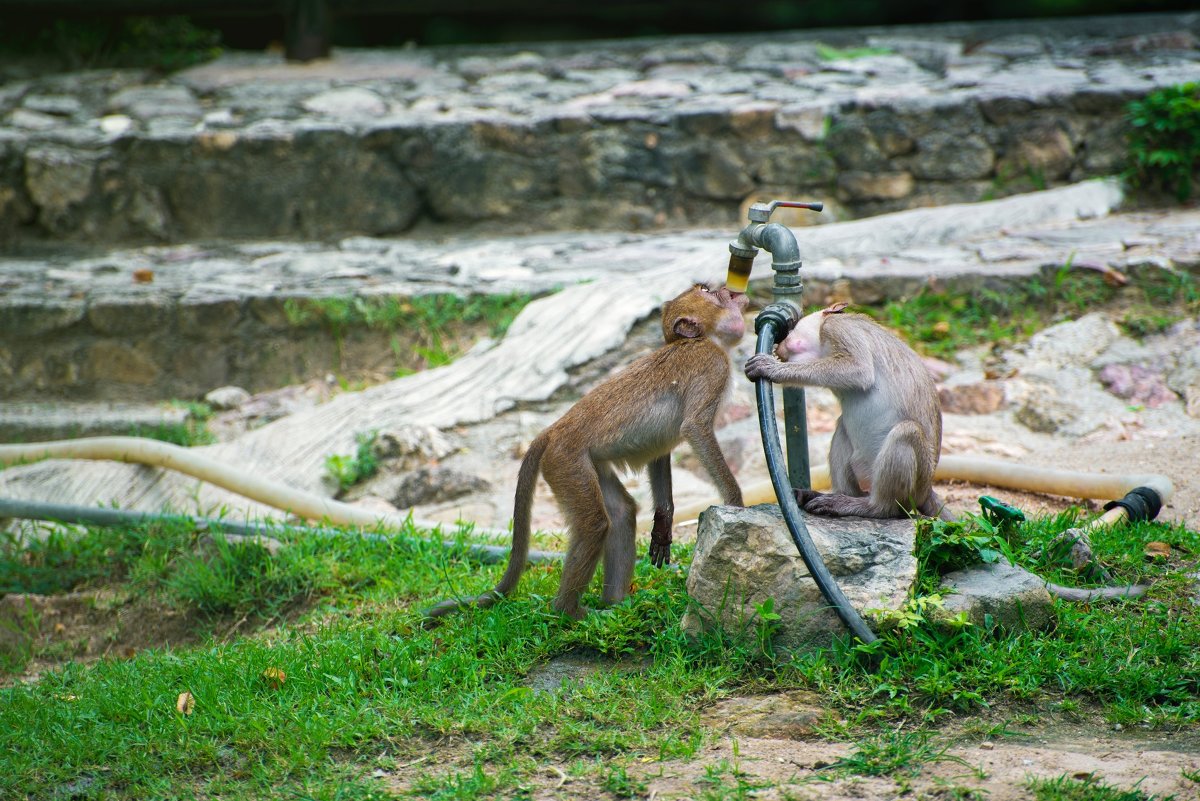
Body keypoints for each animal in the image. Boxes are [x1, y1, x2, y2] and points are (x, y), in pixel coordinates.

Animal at [427, 284, 744, 623]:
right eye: (707, 291)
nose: (727, 289)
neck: (704, 340)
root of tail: (552, 430)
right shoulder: (711, 365)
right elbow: (694, 427)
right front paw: (735, 504)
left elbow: (659, 454)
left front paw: (663, 524)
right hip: (566, 461)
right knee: (594, 524)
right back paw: (569, 610)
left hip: (584, 464)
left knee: (621, 513)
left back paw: (615, 605)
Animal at [739, 302, 945, 520]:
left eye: (791, 329)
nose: (779, 347)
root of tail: (927, 489)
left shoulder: (838, 329)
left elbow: (859, 370)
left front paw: (771, 368)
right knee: (843, 427)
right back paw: (833, 495)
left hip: (917, 482)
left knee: (907, 432)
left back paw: (872, 507)